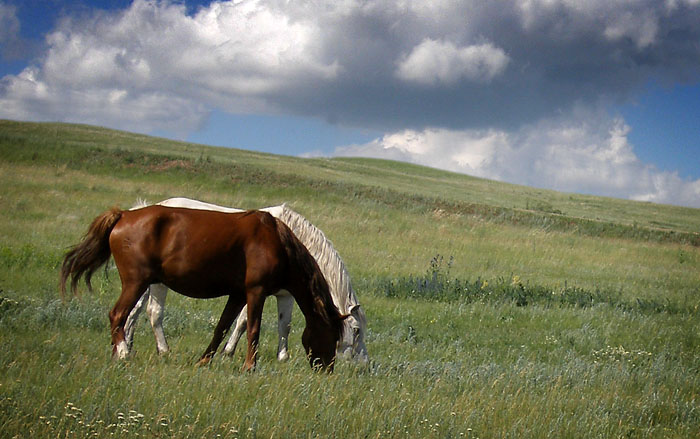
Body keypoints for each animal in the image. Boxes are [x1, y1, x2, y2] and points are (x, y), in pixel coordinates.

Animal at [60, 205, 344, 372]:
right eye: (334, 336)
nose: (327, 370)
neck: (276, 241)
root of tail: (124, 214)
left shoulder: (237, 294)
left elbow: (222, 328)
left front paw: (204, 360)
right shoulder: (256, 291)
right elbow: (253, 328)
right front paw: (250, 366)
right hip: (136, 282)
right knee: (118, 315)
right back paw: (122, 354)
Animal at [123, 199, 370, 364]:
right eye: (356, 330)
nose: (365, 365)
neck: (290, 237)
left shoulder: (285, 295)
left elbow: (285, 324)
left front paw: (282, 357)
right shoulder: (253, 289)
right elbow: (243, 322)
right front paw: (229, 351)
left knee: (134, 310)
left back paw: (126, 346)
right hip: (158, 284)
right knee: (153, 312)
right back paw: (159, 350)